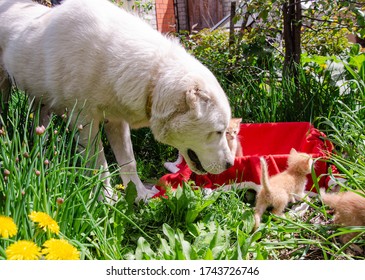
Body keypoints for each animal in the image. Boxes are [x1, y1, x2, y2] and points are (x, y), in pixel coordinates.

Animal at [0, 0, 233, 201]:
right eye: (218, 131)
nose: (230, 164)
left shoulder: (117, 122)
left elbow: (129, 162)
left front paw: (139, 194)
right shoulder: (85, 123)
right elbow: (100, 163)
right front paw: (107, 199)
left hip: (40, 103)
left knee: (38, 128)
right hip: (5, 90)